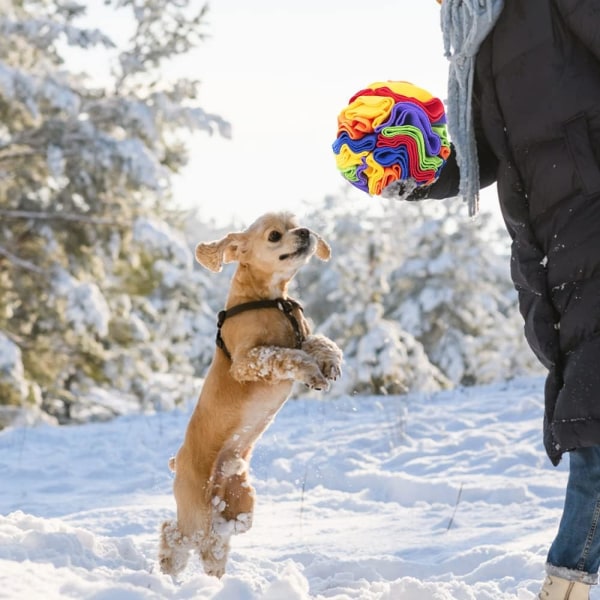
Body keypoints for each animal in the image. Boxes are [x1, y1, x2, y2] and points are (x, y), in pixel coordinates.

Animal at [158, 213, 342, 580]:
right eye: (274, 235)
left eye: (296, 223)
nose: (306, 232)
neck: (271, 300)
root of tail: (176, 460)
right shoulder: (248, 361)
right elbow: (286, 355)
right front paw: (312, 373)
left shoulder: (302, 336)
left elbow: (319, 342)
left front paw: (329, 363)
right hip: (193, 510)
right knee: (174, 534)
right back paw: (168, 572)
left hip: (238, 497)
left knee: (218, 540)